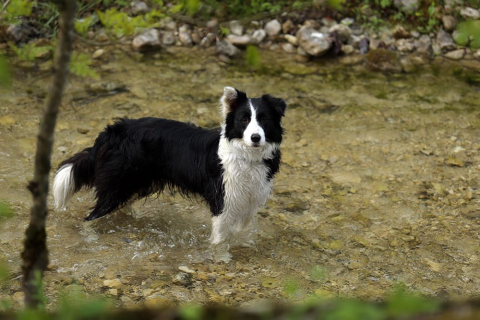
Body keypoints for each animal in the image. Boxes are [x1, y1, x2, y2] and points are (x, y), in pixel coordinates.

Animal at [53, 86, 284, 244]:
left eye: (264, 119)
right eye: (244, 119)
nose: (255, 137)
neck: (248, 156)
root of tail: (113, 131)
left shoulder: (251, 201)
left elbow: (239, 230)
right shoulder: (222, 201)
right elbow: (219, 239)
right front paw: (220, 257)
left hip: (133, 184)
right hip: (116, 185)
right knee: (90, 217)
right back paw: (90, 236)